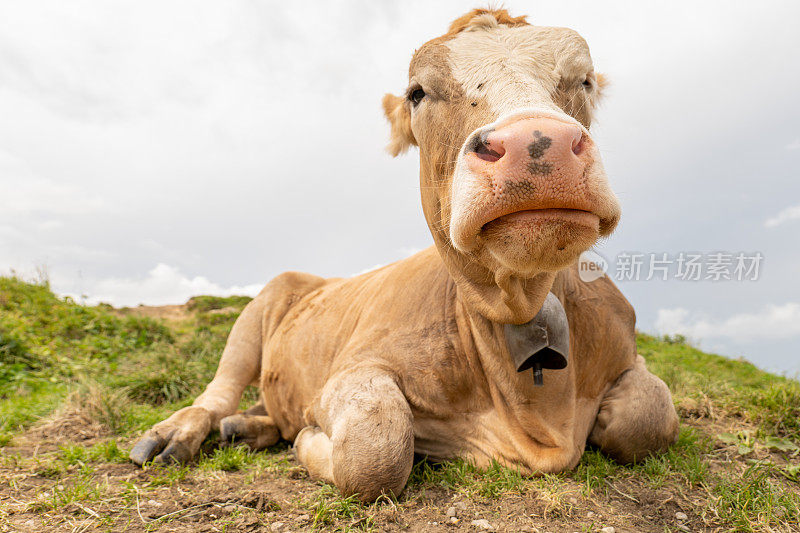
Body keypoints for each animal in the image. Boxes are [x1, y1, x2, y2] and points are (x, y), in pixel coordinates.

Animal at [130, 8, 676, 500]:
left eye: (584, 79)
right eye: (418, 93)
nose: (537, 142)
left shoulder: (628, 349)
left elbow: (650, 415)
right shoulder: (354, 368)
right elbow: (376, 449)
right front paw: (310, 439)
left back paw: (250, 428)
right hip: (263, 303)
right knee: (219, 391)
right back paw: (181, 432)